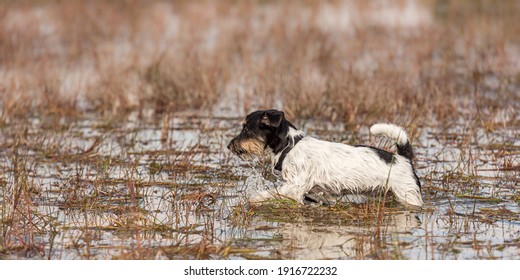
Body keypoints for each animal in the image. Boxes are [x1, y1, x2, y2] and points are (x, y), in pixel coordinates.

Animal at [228, 109, 422, 208]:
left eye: (246, 129)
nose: (229, 146)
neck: (290, 147)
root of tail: (402, 157)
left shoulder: (295, 187)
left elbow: (268, 193)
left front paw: (252, 199)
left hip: (408, 194)